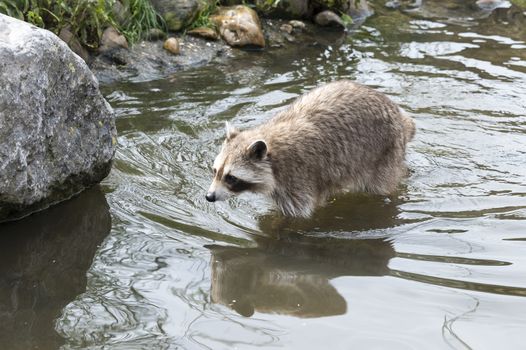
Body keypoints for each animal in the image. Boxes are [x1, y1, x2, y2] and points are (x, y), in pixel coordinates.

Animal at [206, 80, 416, 217]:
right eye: (215, 171)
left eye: (231, 177)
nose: (209, 197)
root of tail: (398, 114)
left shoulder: (298, 177)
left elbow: (297, 215)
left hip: (384, 152)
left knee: (380, 187)